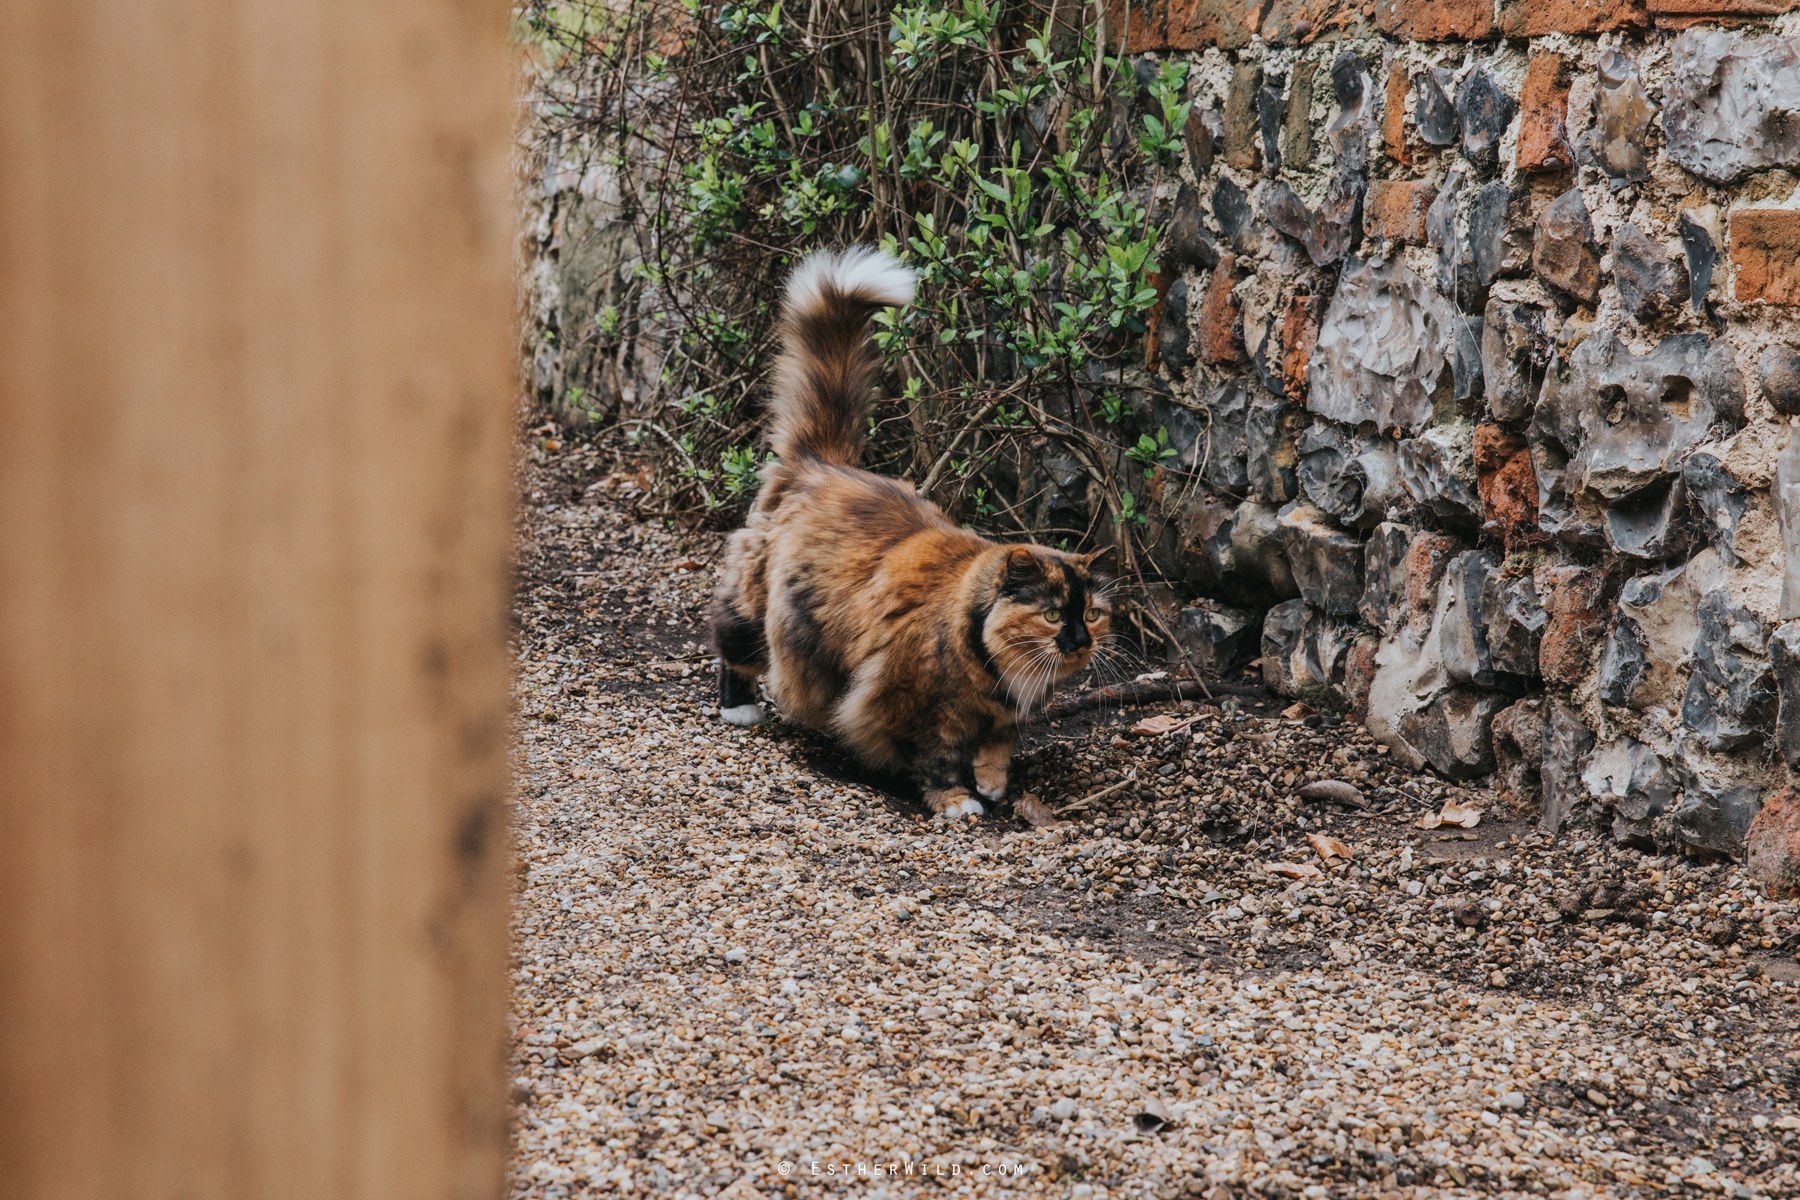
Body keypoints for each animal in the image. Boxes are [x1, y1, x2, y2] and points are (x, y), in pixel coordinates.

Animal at [705, 250, 1108, 820]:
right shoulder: (914, 704)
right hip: (755, 607)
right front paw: (958, 801)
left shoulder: (1002, 719)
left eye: (1091, 614)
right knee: (730, 643)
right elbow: (935, 758)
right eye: (1053, 615)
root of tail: (823, 461)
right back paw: (739, 708)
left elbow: (998, 747)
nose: (1078, 640)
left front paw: (991, 783)